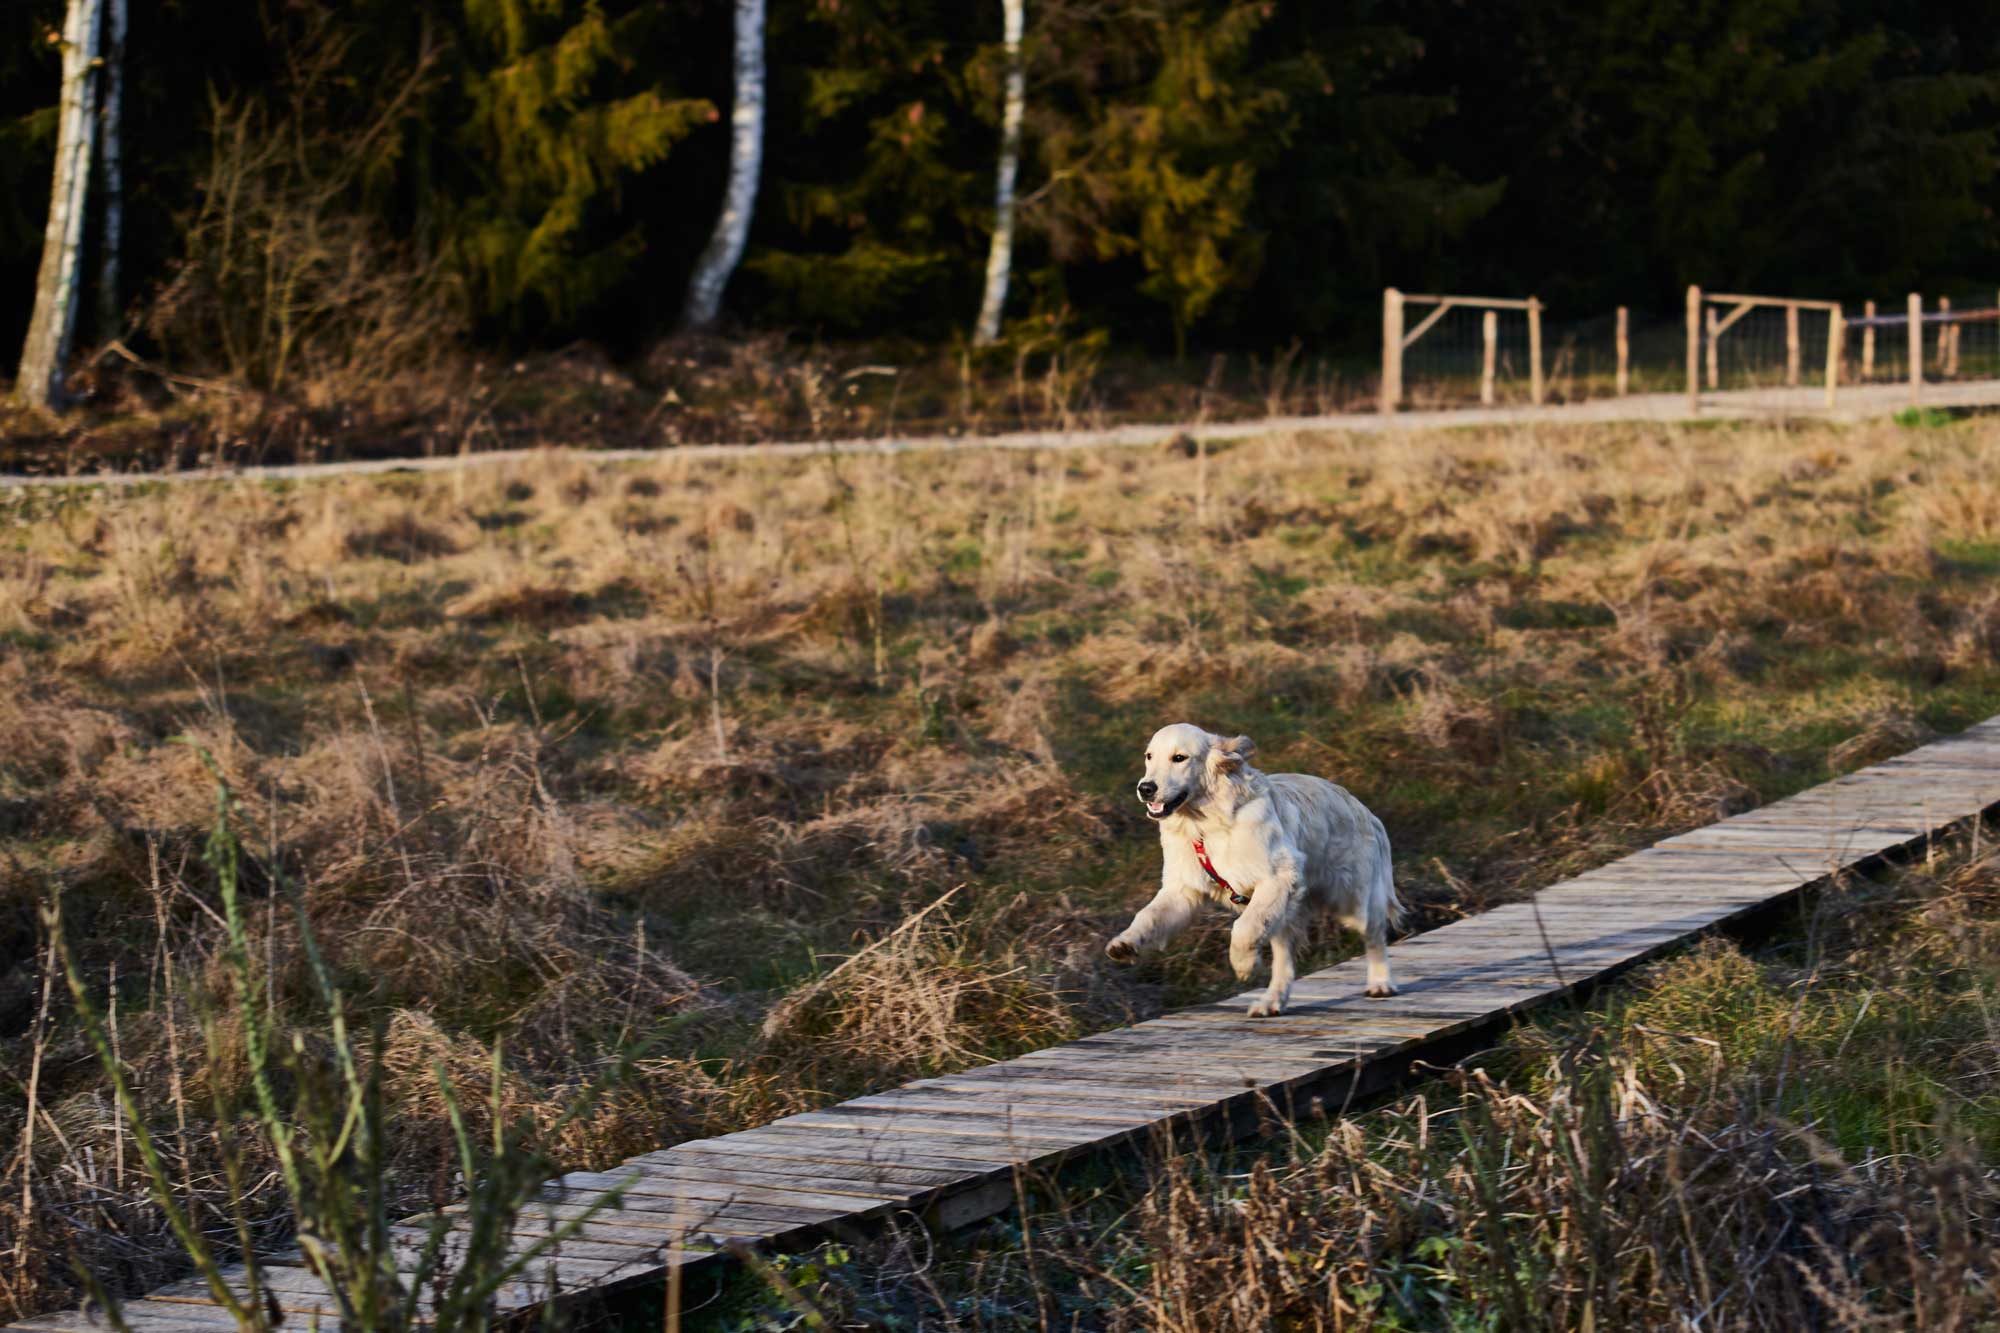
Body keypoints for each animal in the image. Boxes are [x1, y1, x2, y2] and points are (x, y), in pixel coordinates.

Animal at [1104, 720, 1400, 1012]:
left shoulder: (1279, 876)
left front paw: (1245, 965)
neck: (1205, 824)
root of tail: (1364, 810)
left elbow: (1244, 928)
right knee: (1285, 961)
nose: (1145, 788)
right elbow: (1149, 915)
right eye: (1149, 756)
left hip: (1350, 899)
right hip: (1289, 913)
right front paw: (1125, 943)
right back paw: (1271, 1002)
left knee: (1375, 933)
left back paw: (1381, 983)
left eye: (1179, 758)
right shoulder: (1183, 890)